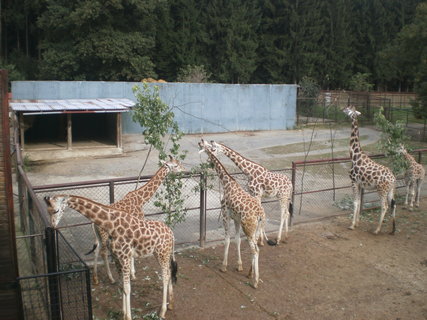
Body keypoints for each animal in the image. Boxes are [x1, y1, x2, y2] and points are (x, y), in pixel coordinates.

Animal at [43, 195, 177, 320]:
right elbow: (122, 286)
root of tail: (171, 233)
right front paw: (123, 314)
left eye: (56, 210)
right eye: (48, 211)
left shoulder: (125, 257)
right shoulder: (117, 258)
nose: (52, 226)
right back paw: (170, 304)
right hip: (162, 254)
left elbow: (127, 288)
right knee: (169, 272)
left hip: (162, 254)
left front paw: (128, 316)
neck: (112, 226)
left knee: (165, 276)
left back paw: (162, 311)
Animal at [89, 156, 183, 284]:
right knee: (103, 252)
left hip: (98, 235)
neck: (141, 199)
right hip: (104, 234)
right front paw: (133, 274)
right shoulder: (138, 223)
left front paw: (131, 273)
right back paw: (111, 278)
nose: (183, 169)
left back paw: (95, 278)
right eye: (176, 165)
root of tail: (93, 223)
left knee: (96, 250)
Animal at [200, 138, 274, 288]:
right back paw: (251, 274)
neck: (227, 182)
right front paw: (239, 266)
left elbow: (227, 238)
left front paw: (223, 266)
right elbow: (237, 240)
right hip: (254, 228)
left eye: (211, 147)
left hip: (249, 228)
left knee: (255, 250)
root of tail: (260, 215)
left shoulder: (225, 214)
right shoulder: (236, 219)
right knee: (256, 248)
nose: (201, 141)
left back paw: (255, 281)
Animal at [344, 106, 398, 234]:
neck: (354, 155)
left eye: (348, 109)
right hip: (390, 190)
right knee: (393, 204)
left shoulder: (353, 182)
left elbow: (355, 202)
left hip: (381, 190)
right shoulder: (360, 184)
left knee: (384, 206)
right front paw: (357, 223)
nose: (343, 109)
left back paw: (377, 230)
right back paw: (393, 230)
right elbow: (359, 202)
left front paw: (352, 225)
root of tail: (393, 179)